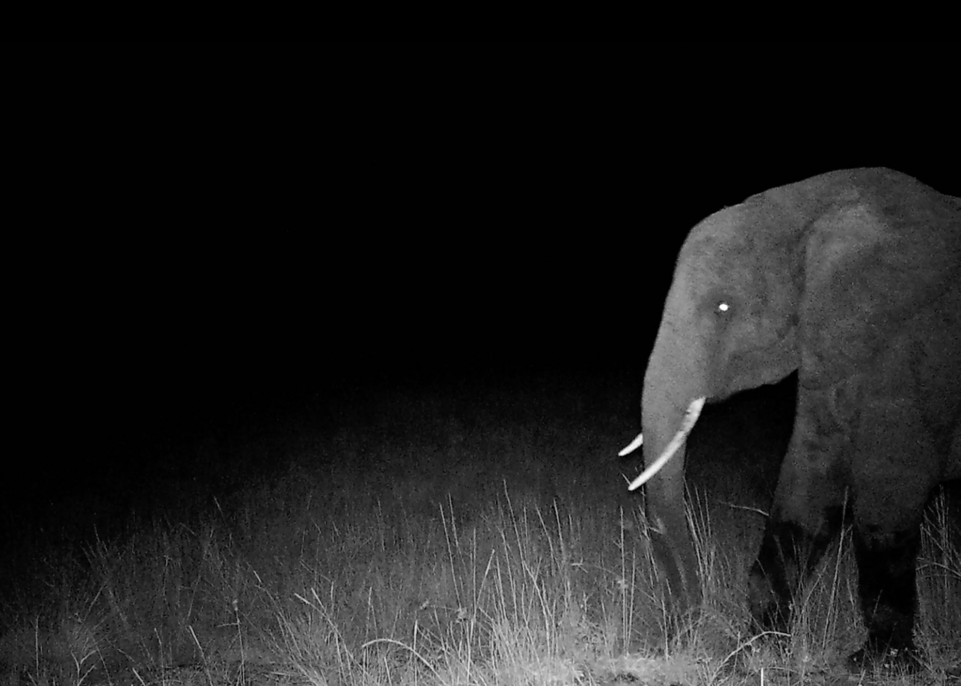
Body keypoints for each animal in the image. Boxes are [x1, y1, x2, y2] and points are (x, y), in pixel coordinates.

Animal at [619, 168, 960, 671]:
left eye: (723, 308)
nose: (684, 632)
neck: (809, 208)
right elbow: (810, 477)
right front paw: (757, 649)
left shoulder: (911, 341)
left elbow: (888, 487)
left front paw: (879, 663)